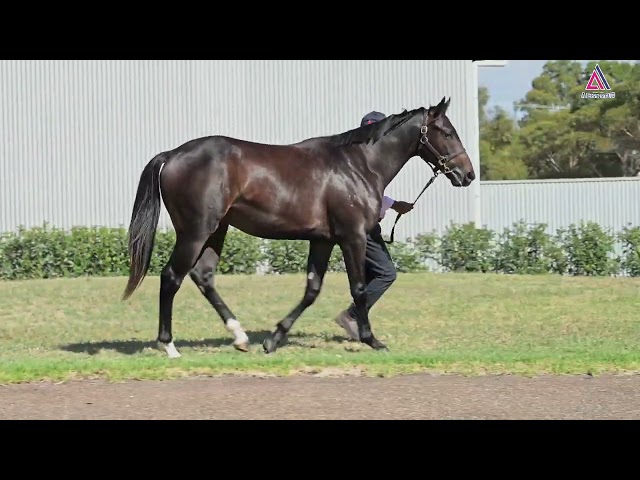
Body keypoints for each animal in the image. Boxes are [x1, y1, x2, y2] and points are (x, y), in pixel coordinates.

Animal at [122, 96, 476, 356]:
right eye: (447, 132)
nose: (468, 174)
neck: (357, 165)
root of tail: (171, 155)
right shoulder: (352, 237)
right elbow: (359, 289)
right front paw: (371, 339)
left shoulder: (322, 240)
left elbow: (311, 290)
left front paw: (274, 339)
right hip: (195, 232)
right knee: (171, 277)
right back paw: (169, 345)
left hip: (216, 231)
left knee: (203, 276)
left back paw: (240, 336)